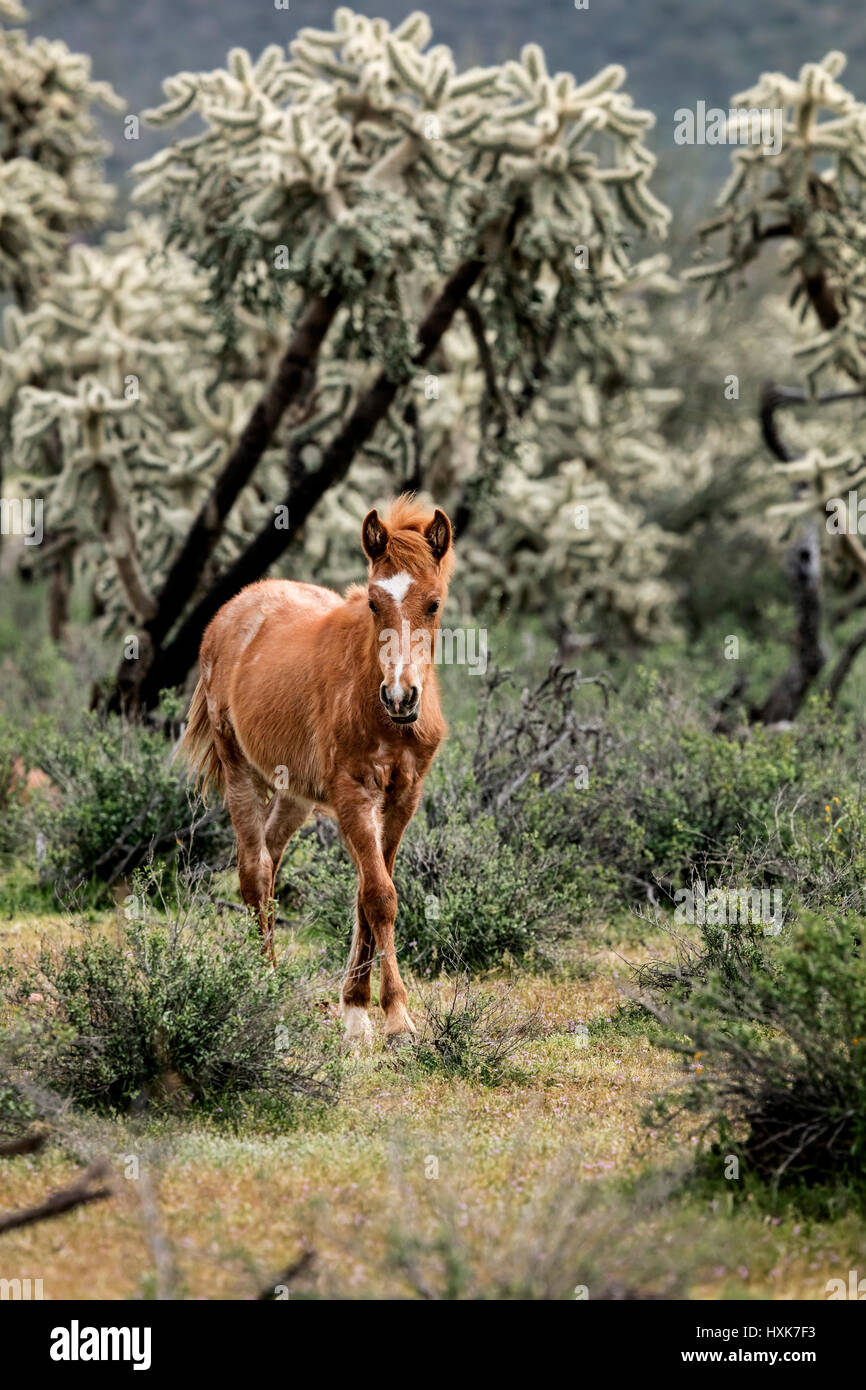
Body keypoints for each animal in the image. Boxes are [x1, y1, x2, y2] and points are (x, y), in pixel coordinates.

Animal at [180, 500, 458, 1045]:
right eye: (373, 603)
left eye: (433, 604)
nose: (401, 698)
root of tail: (232, 610)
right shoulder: (353, 793)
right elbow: (379, 896)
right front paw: (396, 1018)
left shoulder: (403, 797)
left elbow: (368, 895)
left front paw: (356, 1008)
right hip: (240, 770)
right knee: (254, 869)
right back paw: (262, 983)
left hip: (295, 794)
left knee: (269, 861)